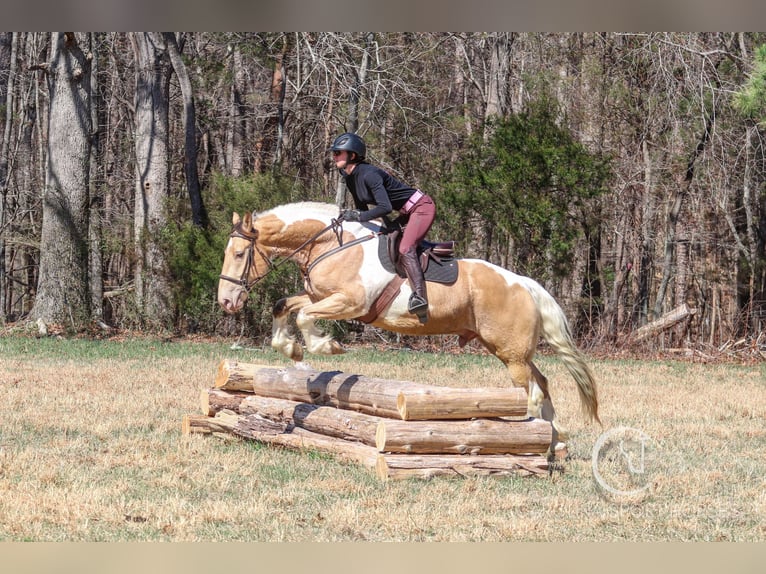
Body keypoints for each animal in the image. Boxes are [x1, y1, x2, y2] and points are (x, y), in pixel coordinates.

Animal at [219, 200, 604, 444]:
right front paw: (289, 348)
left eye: (239, 254)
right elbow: (285, 306)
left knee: (531, 390)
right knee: (543, 381)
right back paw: (557, 439)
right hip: (508, 350)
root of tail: (524, 283)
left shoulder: (350, 303)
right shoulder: (320, 297)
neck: (331, 245)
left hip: (511, 355)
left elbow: (303, 316)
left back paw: (537, 437)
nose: (226, 301)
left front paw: (325, 346)